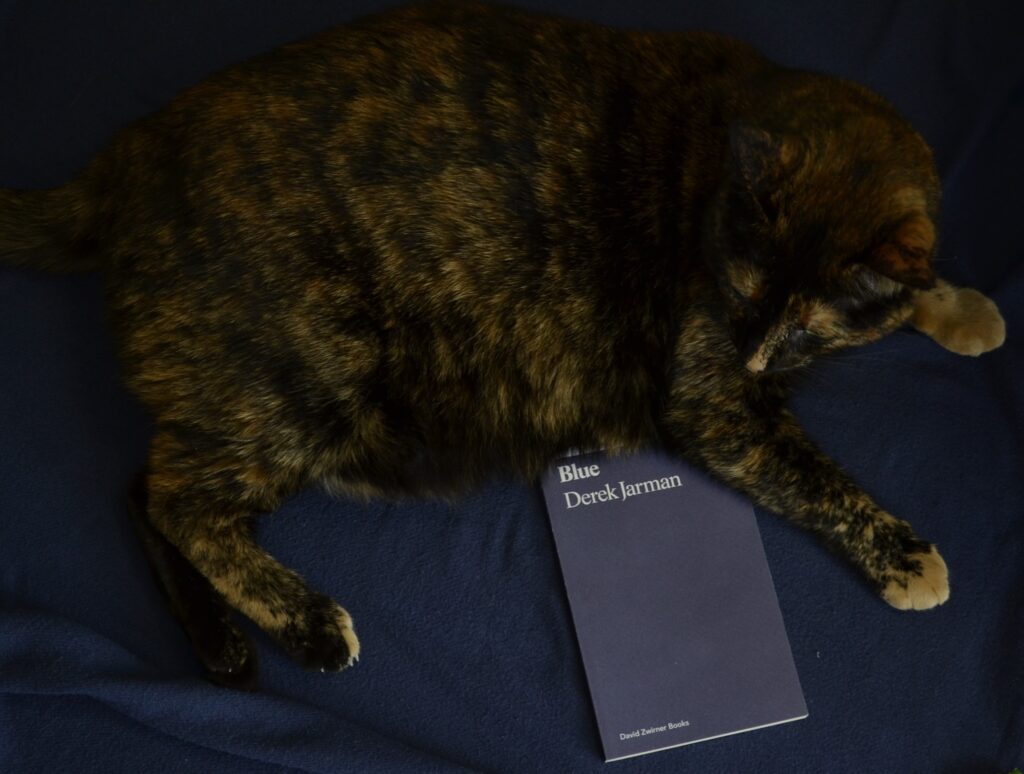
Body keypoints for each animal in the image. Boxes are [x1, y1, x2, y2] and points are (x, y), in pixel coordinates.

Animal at [2, 1, 1007, 688]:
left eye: (801, 320)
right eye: (742, 292)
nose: (758, 352)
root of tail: (124, 156)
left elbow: (917, 282)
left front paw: (966, 309)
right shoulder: (712, 399)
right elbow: (815, 477)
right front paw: (907, 557)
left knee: (143, 487)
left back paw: (221, 648)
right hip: (314, 375)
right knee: (180, 501)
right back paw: (309, 626)